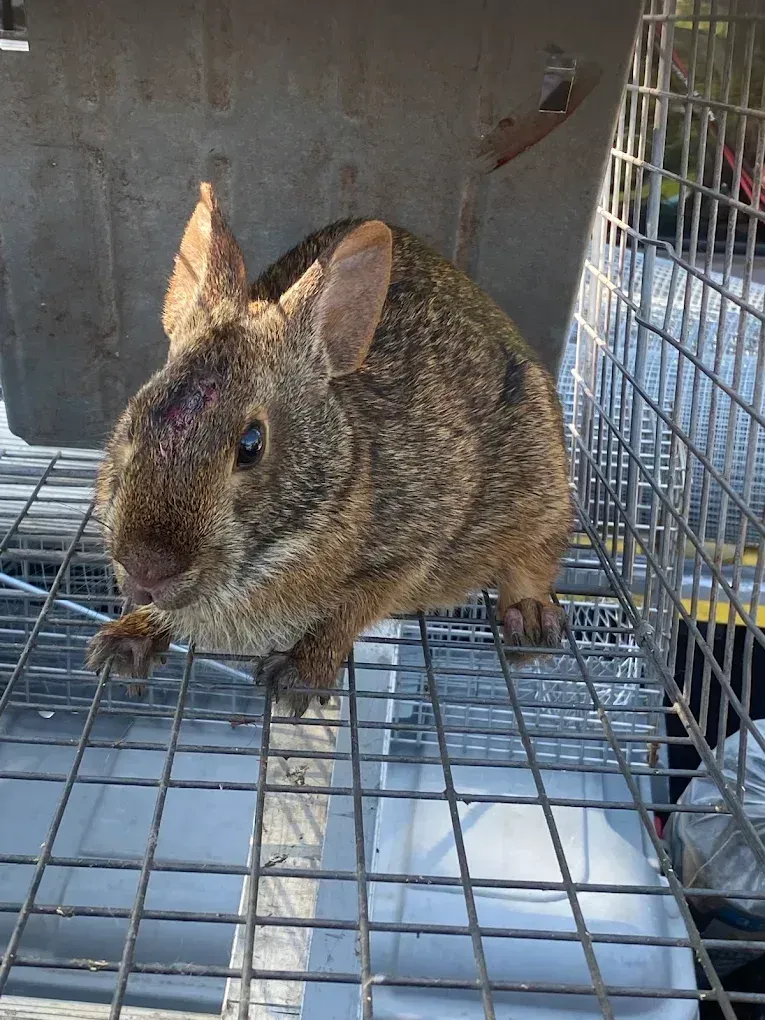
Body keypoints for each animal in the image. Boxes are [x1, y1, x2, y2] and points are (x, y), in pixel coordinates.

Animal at [86, 182, 573, 716]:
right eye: (136, 418)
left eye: (251, 445)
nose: (145, 570)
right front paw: (127, 641)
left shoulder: (405, 554)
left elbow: (346, 616)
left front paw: (300, 675)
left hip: (540, 476)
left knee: (535, 556)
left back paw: (530, 621)